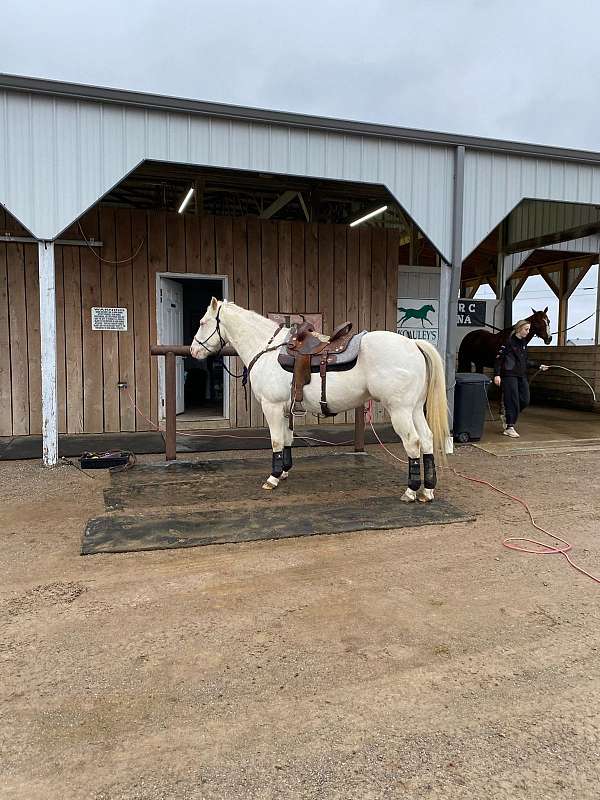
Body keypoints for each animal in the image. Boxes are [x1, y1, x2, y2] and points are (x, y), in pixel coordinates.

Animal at [190, 296, 448, 504]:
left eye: (202, 322)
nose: (193, 351)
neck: (268, 350)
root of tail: (413, 344)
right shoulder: (286, 409)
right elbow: (287, 438)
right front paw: (284, 471)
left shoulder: (271, 407)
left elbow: (276, 441)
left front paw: (273, 477)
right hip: (415, 409)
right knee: (427, 440)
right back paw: (427, 491)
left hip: (400, 411)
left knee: (413, 443)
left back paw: (411, 491)